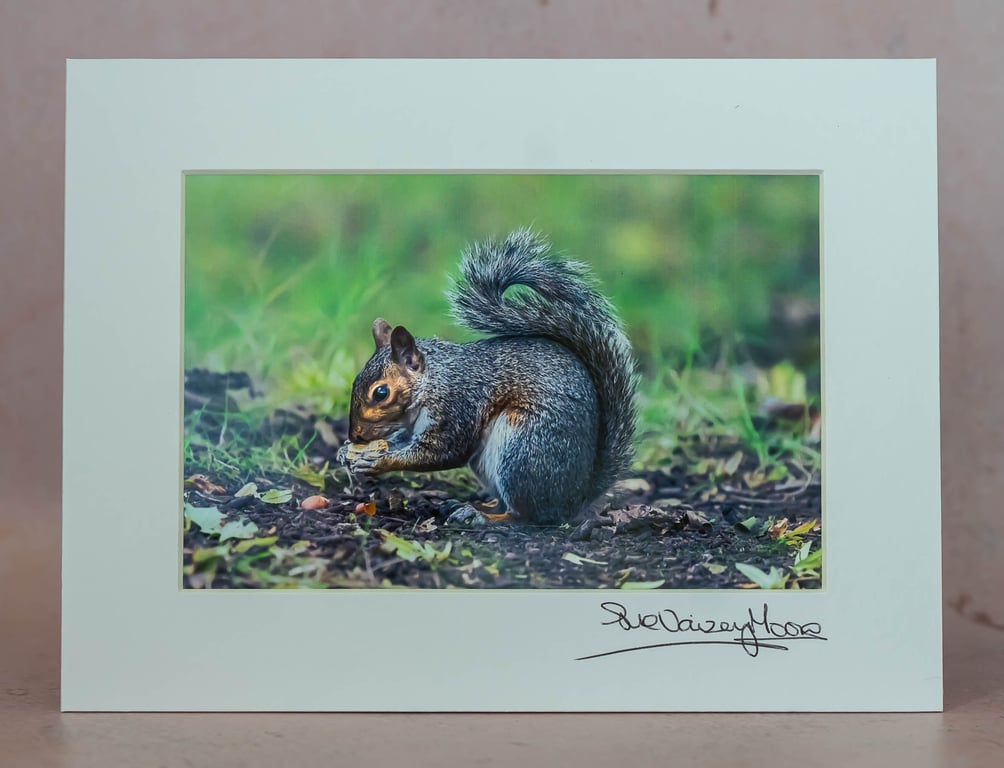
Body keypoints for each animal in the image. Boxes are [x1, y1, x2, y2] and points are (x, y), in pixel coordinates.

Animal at [337, 228, 636, 525]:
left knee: (525, 515)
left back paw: (483, 515)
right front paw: (347, 451)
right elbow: (402, 440)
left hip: (522, 450)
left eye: (381, 392)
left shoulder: (458, 406)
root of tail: (577, 497)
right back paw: (476, 505)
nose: (356, 434)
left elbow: (442, 451)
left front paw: (379, 461)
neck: (433, 382)